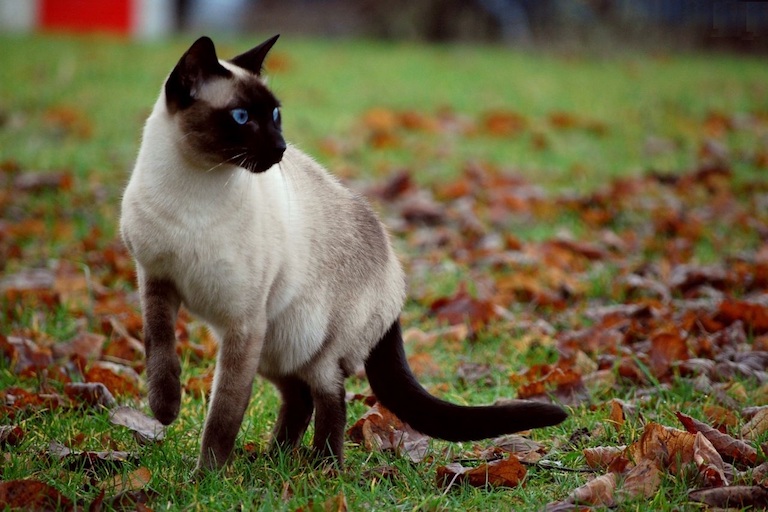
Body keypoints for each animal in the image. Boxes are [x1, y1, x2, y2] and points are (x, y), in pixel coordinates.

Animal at [118, 34, 564, 470]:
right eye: (242, 117)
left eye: (275, 115)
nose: (280, 147)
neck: (195, 186)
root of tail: (396, 272)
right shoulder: (156, 280)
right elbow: (159, 347)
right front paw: (165, 411)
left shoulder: (243, 321)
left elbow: (224, 414)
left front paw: (206, 477)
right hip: (276, 345)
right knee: (298, 397)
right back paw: (275, 461)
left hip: (305, 344)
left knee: (330, 396)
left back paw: (322, 468)